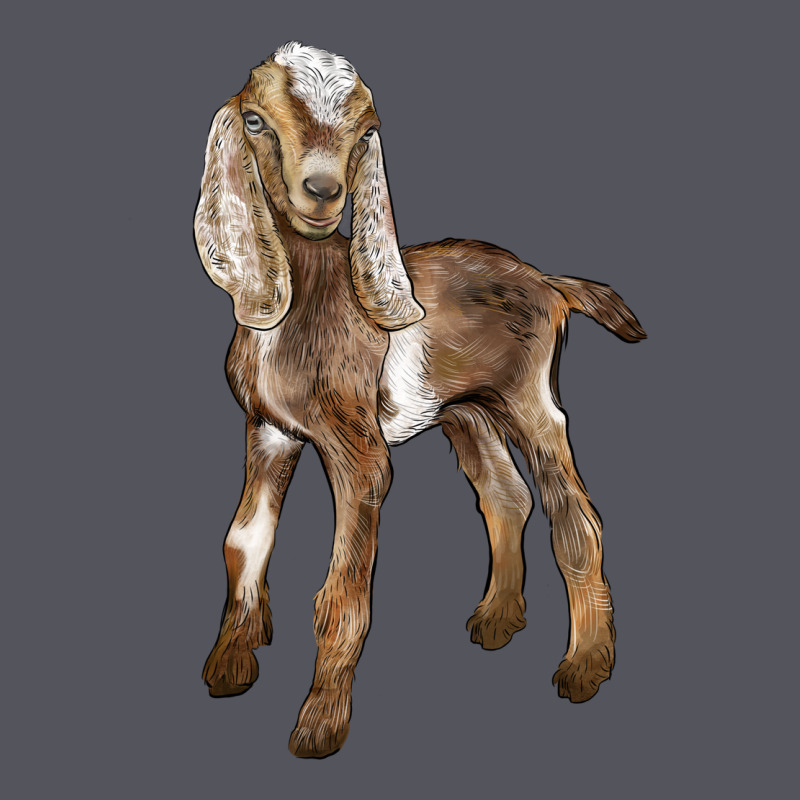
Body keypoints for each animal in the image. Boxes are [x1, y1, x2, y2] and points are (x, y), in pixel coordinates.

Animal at [194, 42, 646, 759]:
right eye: (257, 121)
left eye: (364, 133)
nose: (323, 193)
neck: (310, 293)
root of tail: (549, 281)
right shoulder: (268, 431)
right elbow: (243, 542)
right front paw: (230, 664)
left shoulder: (359, 457)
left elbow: (341, 593)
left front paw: (319, 724)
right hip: (468, 410)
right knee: (506, 497)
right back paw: (497, 619)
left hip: (530, 398)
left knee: (575, 517)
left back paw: (583, 669)